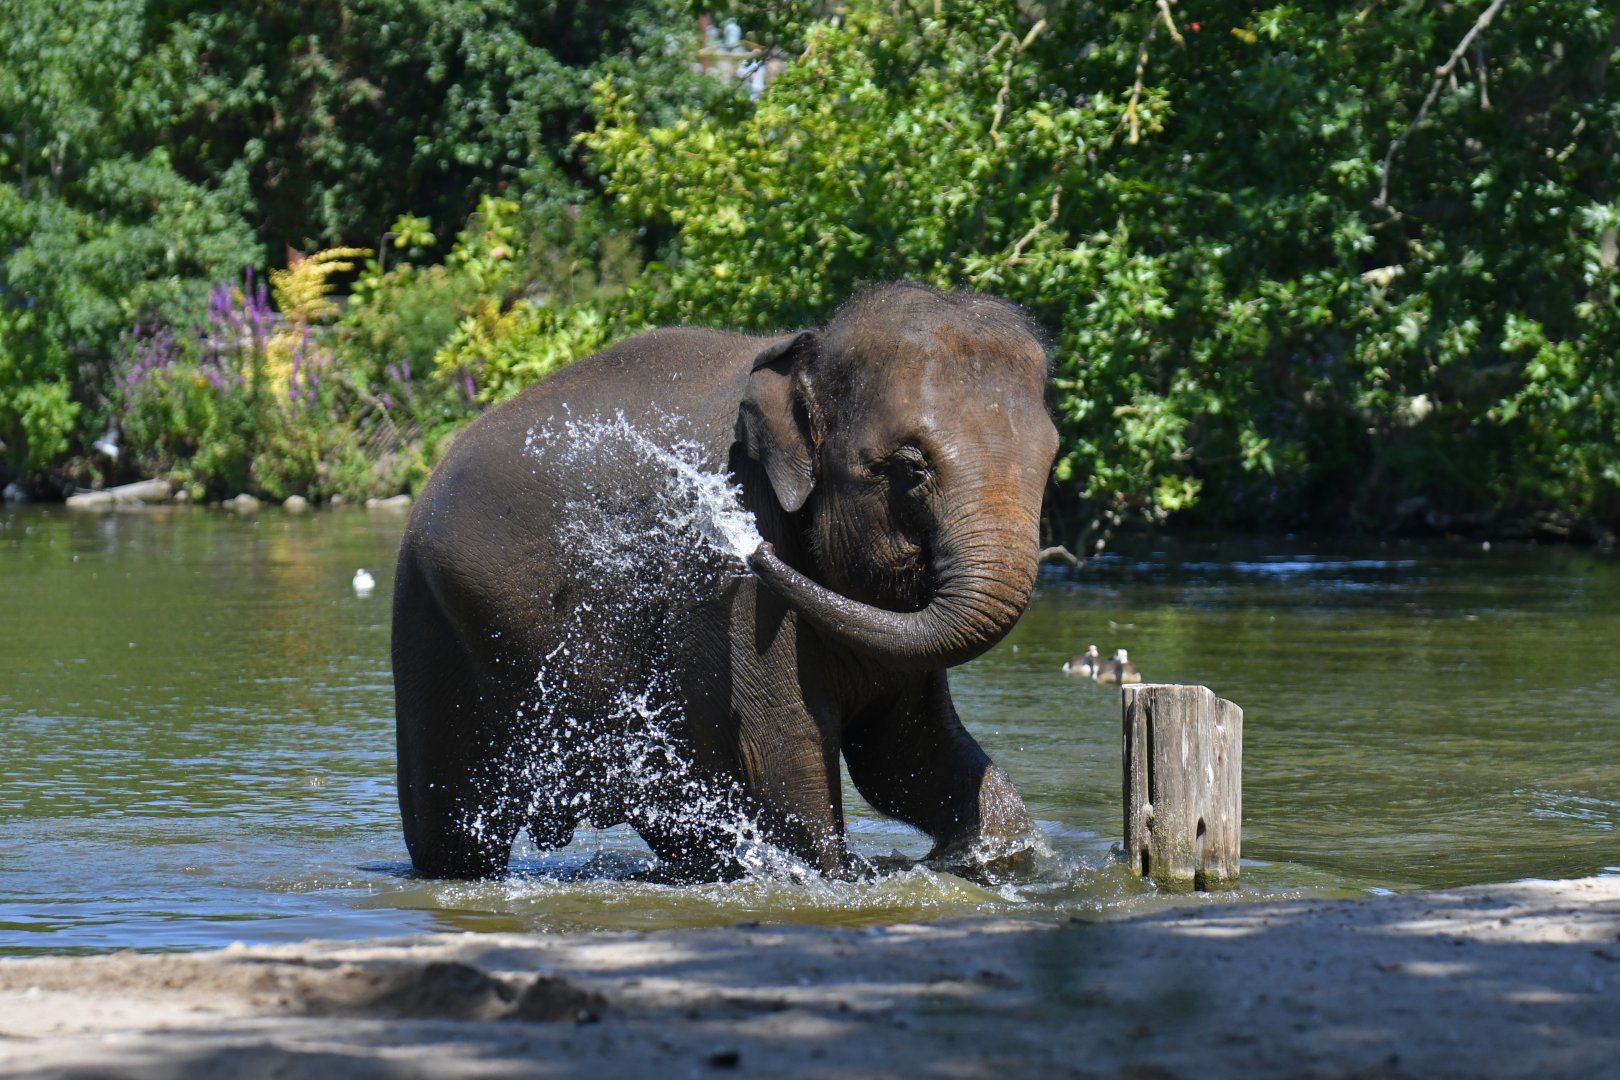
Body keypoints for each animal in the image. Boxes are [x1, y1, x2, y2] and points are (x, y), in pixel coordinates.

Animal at [392, 281, 1059, 880]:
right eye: (909, 466)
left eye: (1051, 460)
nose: (749, 546)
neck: (805, 351)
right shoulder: (723, 584)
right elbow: (782, 752)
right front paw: (834, 879)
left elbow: (904, 754)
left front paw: (988, 856)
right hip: (432, 624)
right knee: (452, 830)